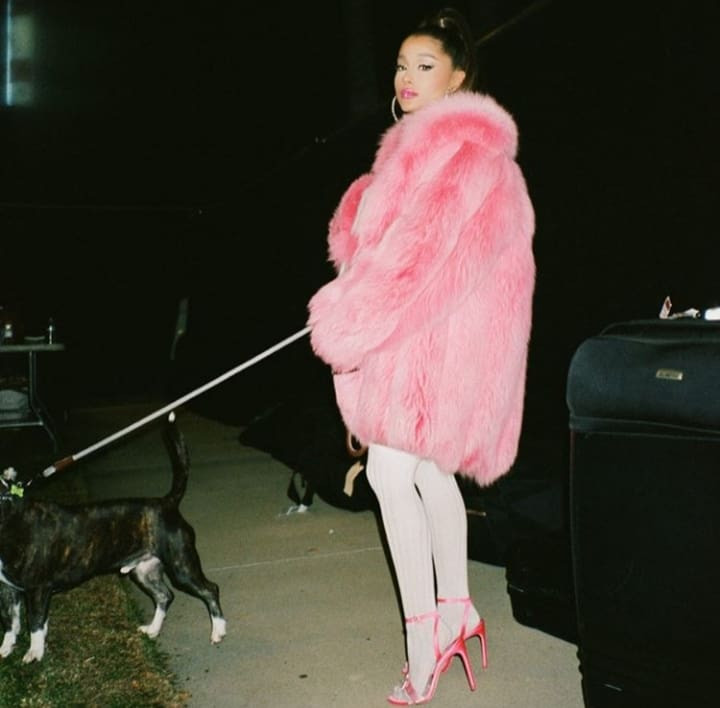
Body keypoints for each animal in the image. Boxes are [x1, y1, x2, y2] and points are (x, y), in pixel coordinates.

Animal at [0, 413, 226, 663]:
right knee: (165, 596)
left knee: (210, 589)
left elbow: (35, 624)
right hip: (144, 571)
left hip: (182, 567)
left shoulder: (37, 589)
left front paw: (34, 653)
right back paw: (153, 629)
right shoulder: (8, 590)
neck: (9, 515)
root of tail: (167, 502)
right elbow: (11, 623)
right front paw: (6, 649)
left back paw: (218, 631)